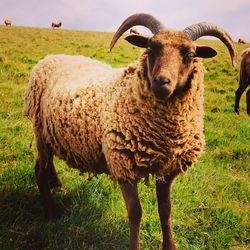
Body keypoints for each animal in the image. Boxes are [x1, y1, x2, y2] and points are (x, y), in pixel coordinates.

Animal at [24, 13, 237, 250]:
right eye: (151, 48)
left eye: (190, 54)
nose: (161, 82)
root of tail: (50, 57)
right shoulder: (122, 164)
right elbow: (136, 213)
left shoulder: (168, 169)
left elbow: (166, 209)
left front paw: (169, 245)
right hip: (40, 129)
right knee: (39, 171)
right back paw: (51, 214)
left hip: (50, 134)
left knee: (45, 163)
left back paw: (57, 186)